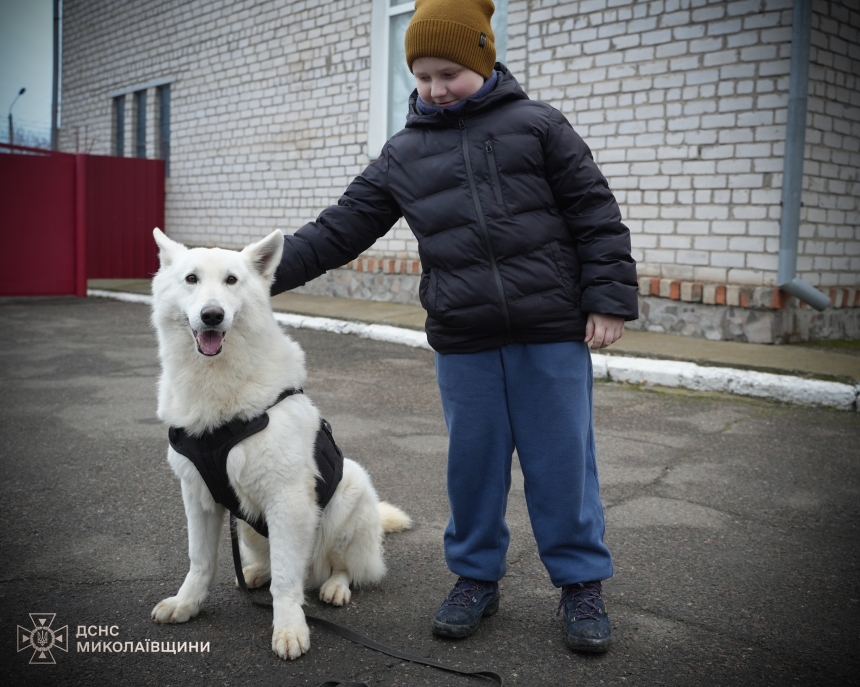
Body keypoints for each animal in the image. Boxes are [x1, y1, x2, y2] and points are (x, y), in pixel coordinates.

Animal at [149, 230, 412, 660]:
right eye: (191, 279)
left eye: (231, 281)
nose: (212, 315)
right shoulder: (198, 496)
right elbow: (200, 560)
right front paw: (187, 604)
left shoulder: (287, 499)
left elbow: (287, 581)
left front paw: (289, 628)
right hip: (247, 528)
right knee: (274, 564)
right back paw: (255, 572)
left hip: (350, 491)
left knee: (341, 568)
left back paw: (334, 586)